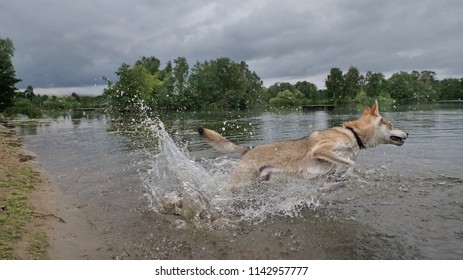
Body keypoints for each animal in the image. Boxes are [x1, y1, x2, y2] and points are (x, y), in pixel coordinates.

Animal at [198, 100, 408, 186]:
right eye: (391, 124)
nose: (407, 133)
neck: (353, 134)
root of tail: (248, 150)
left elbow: (342, 166)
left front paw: (339, 177)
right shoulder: (321, 150)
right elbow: (350, 163)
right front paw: (345, 174)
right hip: (240, 182)